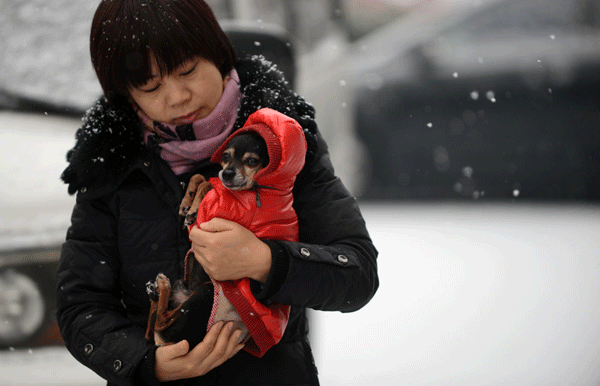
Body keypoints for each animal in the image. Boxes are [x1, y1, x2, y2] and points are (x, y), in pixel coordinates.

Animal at [145, 132, 270, 346]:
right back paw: (155, 291)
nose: (226, 174)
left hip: (206, 294)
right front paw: (187, 202)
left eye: (252, 161)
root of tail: (164, 344)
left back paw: (161, 286)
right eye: (225, 156)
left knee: (160, 323)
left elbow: (208, 183)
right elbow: (199, 177)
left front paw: (194, 208)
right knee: (152, 326)